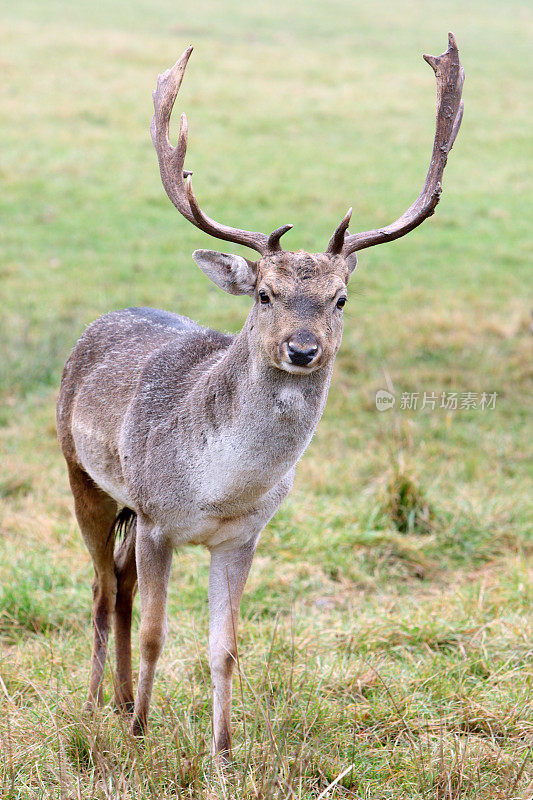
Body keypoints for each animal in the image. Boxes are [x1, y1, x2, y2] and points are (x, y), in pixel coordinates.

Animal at [54, 31, 462, 756]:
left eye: (339, 298)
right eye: (265, 294)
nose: (302, 349)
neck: (218, 486)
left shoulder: (243, 534)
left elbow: (225, 647)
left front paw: (221, 750)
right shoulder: (157, 516)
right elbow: (158, 631)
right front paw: (141, 733)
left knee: (121, 585)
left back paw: (123, 698)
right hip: (85, 476)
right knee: (103, 591)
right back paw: (101, 705)